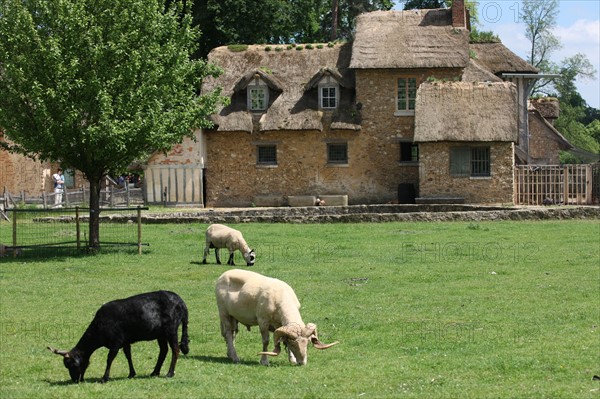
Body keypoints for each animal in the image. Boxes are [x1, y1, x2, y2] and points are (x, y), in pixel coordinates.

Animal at [49, 290, 190, 384]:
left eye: (72, 364)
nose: (75, 380)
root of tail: (181, 302)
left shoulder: (116, 342)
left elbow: (110, 358)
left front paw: (104, 378)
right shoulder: (125, 340)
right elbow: (128, 355)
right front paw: (131, 373)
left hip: (171, 329)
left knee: (175, 349)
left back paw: (170, 373)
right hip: (160, 333)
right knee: (163, 350)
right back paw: (155, 372)